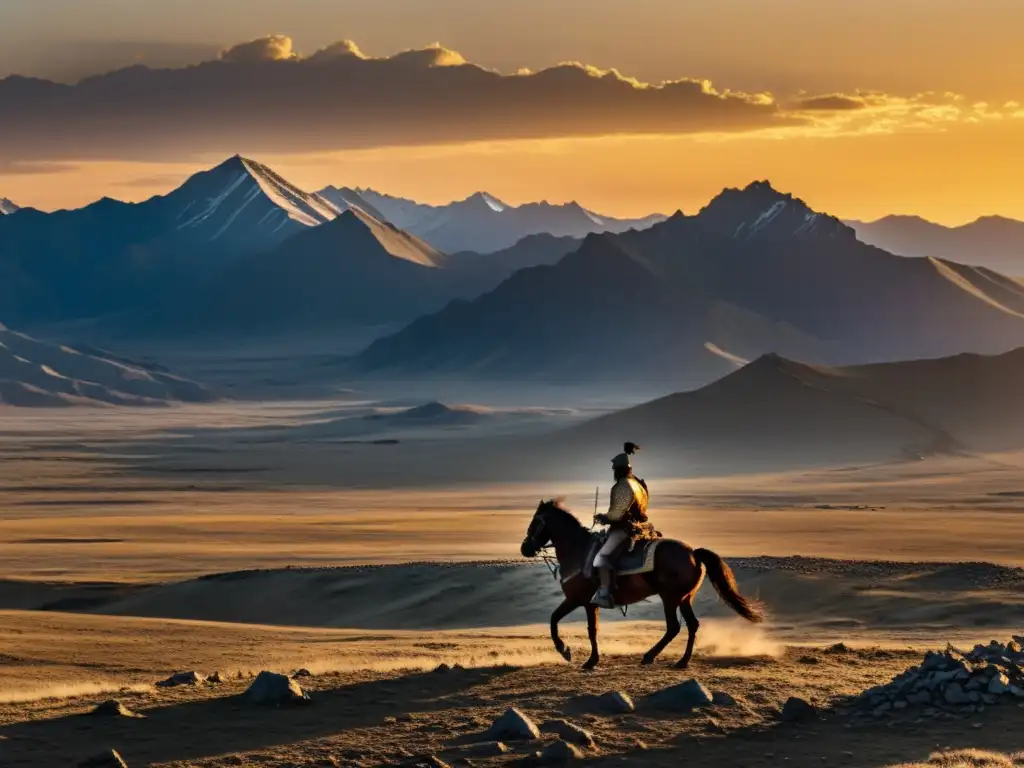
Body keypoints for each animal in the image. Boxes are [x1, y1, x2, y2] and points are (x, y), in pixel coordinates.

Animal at [520, 501, 761, 671]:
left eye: (534, 523)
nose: (525, 548)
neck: (577, 550)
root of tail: (693, 553)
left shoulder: (580, 601)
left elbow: (574, 626)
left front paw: (573, 654)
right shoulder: (583, 602)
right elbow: (563, 622)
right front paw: (579, 656)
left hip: (670, 598)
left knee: (674, 627)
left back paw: (649, 656)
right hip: (684, 599)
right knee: (692, 625)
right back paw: (682, 661)